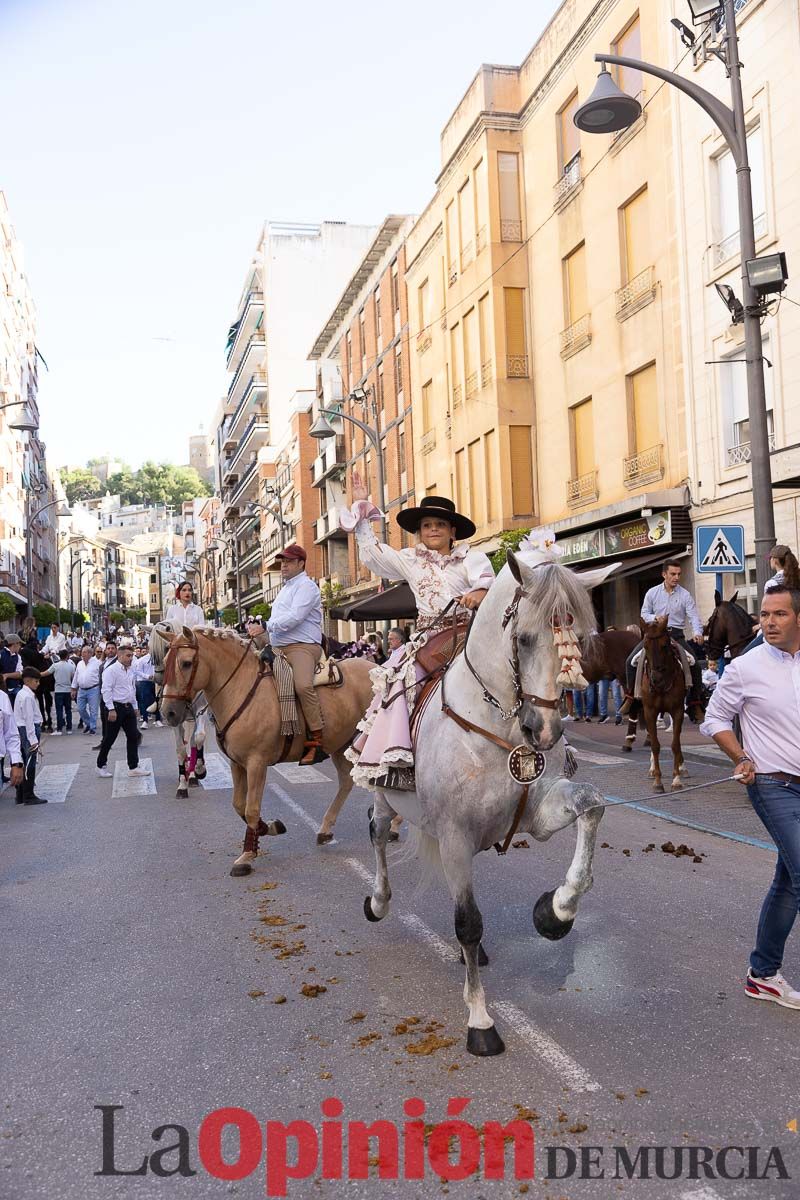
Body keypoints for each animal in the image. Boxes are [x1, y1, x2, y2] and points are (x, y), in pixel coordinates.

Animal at [148, 624, 208, 801]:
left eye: (165, 648)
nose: (158, 679)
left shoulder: (199, 712)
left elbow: (198, 738)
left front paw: (198, 771)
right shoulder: (174, 718)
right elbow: (180, 749)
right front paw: (182, 784)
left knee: (194, 740)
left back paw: (194, 772)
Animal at [159, 628, 379, 873]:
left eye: (186, 663)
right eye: (165, 663)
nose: (167, 713)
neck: (241, 689)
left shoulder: (257, 763)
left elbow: (251, 808)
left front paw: (247, 855)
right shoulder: (237, 763)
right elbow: (239, 805)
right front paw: (270, 827)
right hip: (340, 744)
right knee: (347, 781)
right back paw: (326, 829)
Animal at [362, 549, 614, 1056]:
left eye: (579, 638)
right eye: (524, 637)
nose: (545, 730)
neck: (497, 728)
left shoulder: (540, 813)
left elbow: (591, 804)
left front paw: (556, 911)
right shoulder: (456, 836)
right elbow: (468, 922)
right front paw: (480, 1020)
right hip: (384, 795)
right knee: (378, 834)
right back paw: (378, 901)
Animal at [623, 614, 690, 792]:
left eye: (665, 645)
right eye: (645, 645)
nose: (656, 679)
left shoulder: (678, 710)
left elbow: (675, 744)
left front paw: (676, 779)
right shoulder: (650, 711)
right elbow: (655, 745)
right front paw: (658, 782)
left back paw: (682, 767)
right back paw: (652, 768)